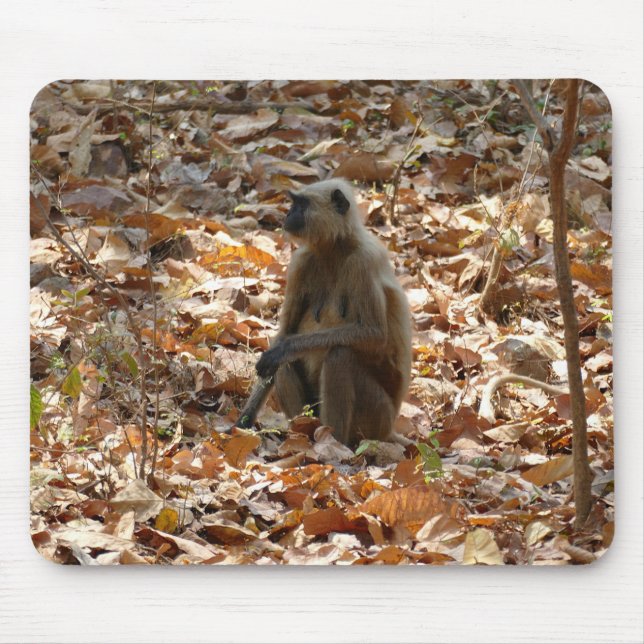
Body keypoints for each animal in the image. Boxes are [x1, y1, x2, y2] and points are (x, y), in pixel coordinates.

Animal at [236, 178, 412, 447]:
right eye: (294, 203)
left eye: (301, 204)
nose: (288, 213)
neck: (335, 248)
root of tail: (389, 429)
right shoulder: (300, 262)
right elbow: (284, 335)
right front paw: (242, 423)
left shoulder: (363, 261)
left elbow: (375, 333)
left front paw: (286, 347)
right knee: (284, 363)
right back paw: (301, 432)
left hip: (377, 418)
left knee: (339, 355)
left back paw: (331, 441)